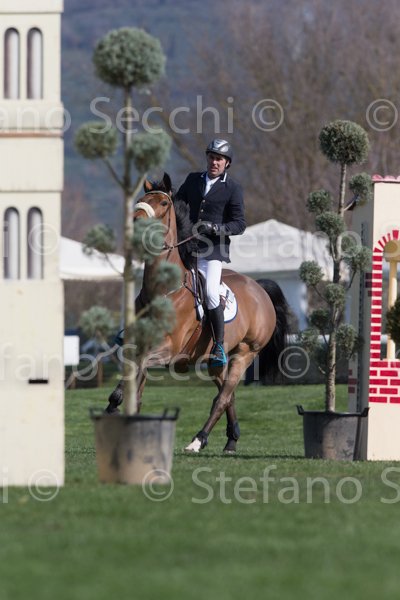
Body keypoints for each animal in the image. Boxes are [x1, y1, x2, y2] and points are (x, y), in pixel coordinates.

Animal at [106, 173, 290, 453]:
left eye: (163, 203)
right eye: (140, 199)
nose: (134, 224)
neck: (163, 289)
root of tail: (259, 289)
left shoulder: (169, 351)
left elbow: (140, 366)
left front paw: (116, 400)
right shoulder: (140, 344)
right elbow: (135, 372)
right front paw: (126, 409)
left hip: (245, 353)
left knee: (222, 397)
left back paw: (198, 439)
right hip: (216, 362)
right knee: (228, 394)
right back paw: (231, 439)